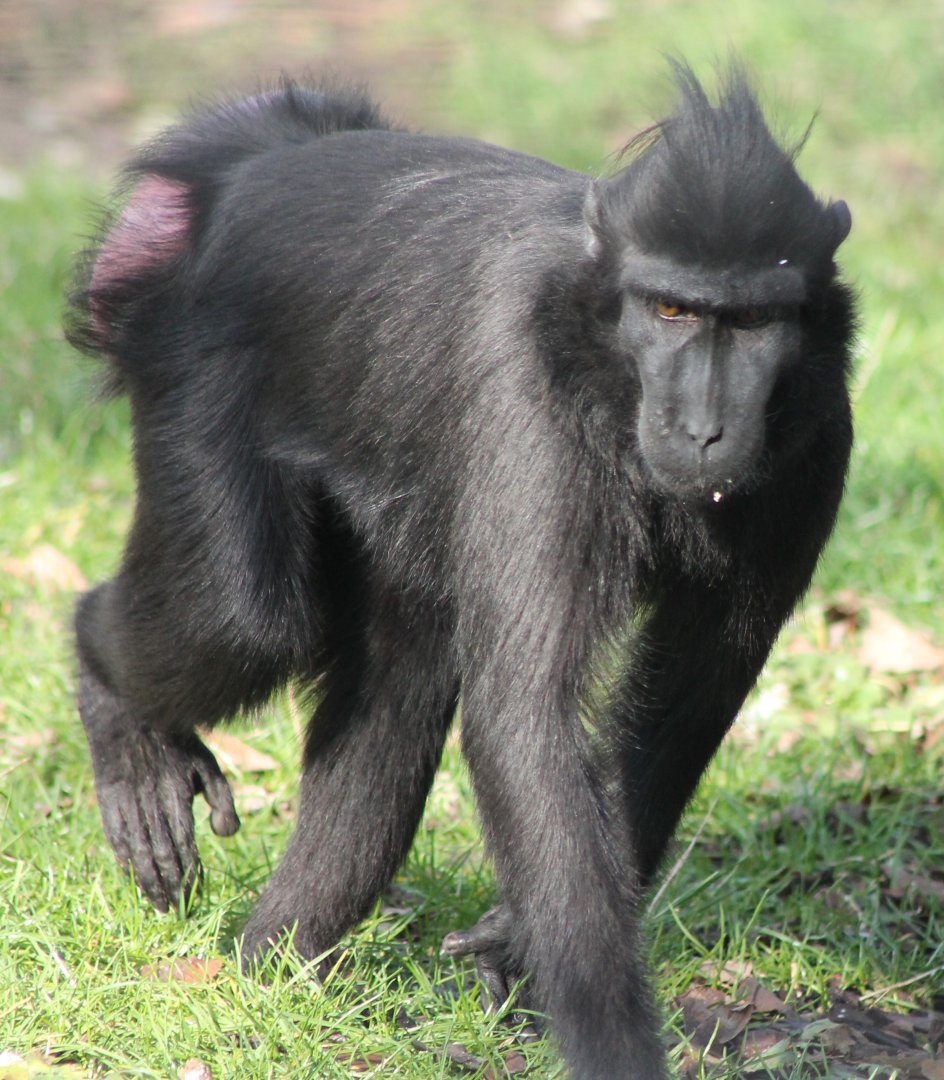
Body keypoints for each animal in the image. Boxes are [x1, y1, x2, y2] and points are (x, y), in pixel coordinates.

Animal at [67, 63, 855, 1079]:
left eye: (756, 320)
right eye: (672, 309)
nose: (705, 428)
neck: (599, 344)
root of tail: (258, 163)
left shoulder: (819, 435)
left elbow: (694, 692)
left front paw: (515, 936)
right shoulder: (525, 400)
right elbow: (524, 717)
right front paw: (609, 1038)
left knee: (396, 686)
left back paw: (269, 968)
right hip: (189, 377)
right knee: (238, 617)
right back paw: (113, 709)